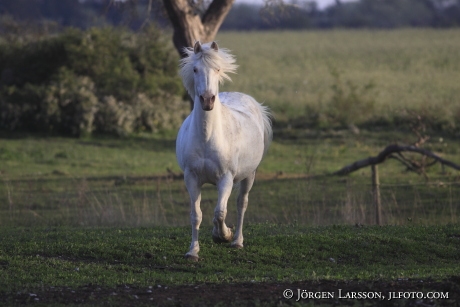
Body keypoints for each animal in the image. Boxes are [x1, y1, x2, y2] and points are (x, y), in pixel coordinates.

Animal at [175, 41, 270, 262]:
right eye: (195, 69)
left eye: (217, 69)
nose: (208, 100)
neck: (207, 138)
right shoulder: (191, 178)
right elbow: (196, 215)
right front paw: (193, 251)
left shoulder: (226, 179)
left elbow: (219, 212)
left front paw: (223, 235)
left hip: (249, 175)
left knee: (241, 203)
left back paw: (237, 241)